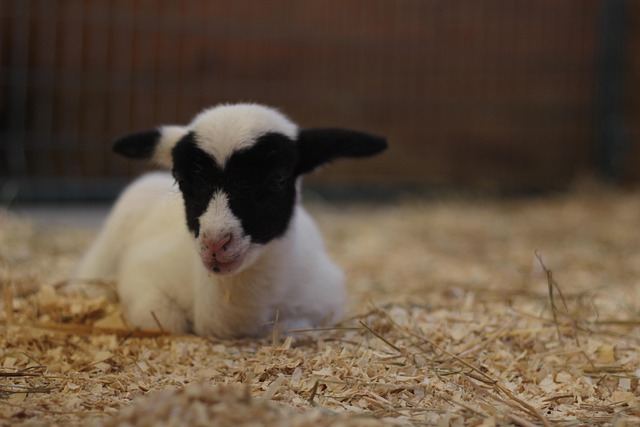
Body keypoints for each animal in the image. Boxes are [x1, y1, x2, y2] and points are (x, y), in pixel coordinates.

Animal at [75, 103, 387, 339]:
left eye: (278, 178)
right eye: (182, 181)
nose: (216, 243)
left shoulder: (326, 296)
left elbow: (291, 327)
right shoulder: (142, 276)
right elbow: (165, 321)